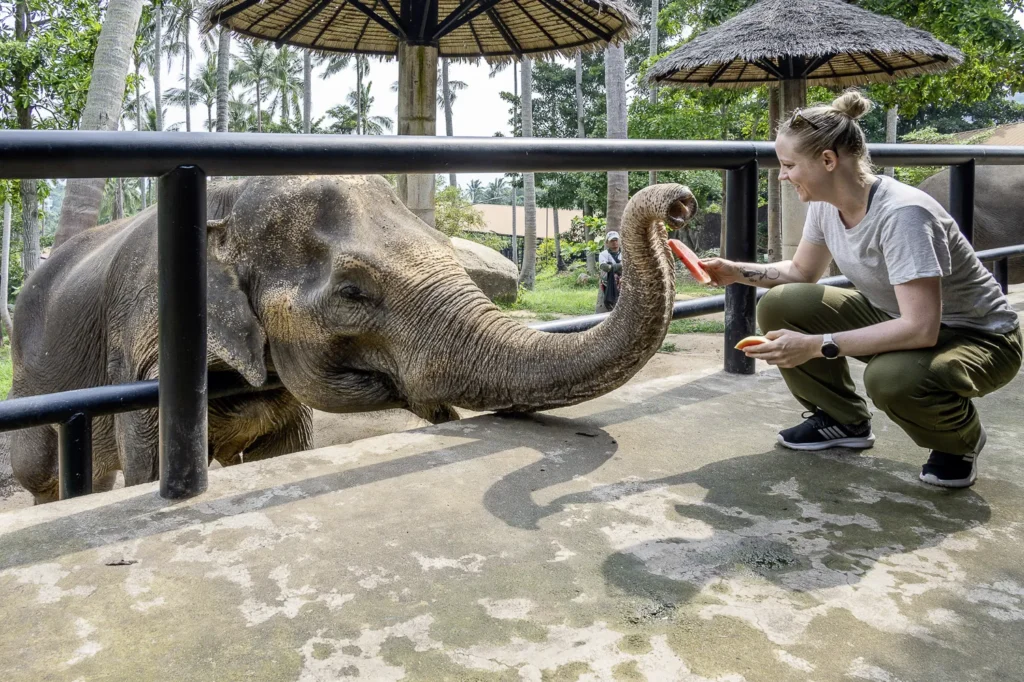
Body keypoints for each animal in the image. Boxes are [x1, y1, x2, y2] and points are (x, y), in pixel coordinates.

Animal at [9, 175, 696, 504]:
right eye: (352, 293)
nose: (681, 203)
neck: (229, 198)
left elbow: (284, 450)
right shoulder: (143, 351)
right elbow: (148, 465)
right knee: (40, 473)